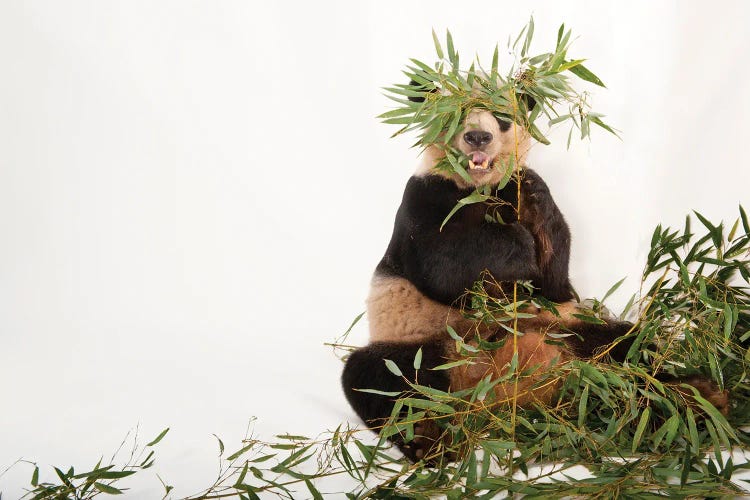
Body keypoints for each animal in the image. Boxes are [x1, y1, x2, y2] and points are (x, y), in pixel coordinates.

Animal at [340, 84, 728, 462]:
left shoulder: (518, 203)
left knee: (628, 348)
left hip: (568, 331)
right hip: (424, 342)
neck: (479, 187)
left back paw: (694, 400)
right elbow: (442, 264)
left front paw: (532, 203)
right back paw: (428, 438)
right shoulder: (424, 197)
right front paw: (515, 247)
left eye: (501, 114)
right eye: (459, 113)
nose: (478, 137)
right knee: (382, 377)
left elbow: (553, 278)